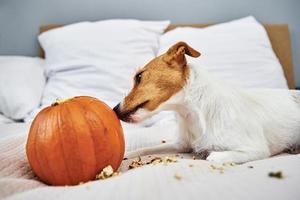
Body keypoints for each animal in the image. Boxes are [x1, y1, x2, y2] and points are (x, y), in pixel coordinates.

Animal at [113, 41, 300, 163]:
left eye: (139, 77)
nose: (114, 110)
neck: (191, 114)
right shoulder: (181, 145)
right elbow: (146, 149)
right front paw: (129, 153)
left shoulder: (255, 149)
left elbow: (212, 157)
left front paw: (208, 154)